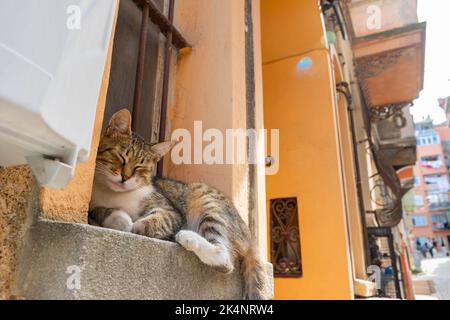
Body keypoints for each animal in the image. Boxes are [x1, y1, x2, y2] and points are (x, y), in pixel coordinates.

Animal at [89, 109, 268, 298]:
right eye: (121, 157)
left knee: (225, 260)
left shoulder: (171, 211)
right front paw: (120, 220)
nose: (125, 177)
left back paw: (188, 237)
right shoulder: (92, 204)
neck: (114, 193)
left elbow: (154, 221)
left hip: (205, 199)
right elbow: (100, 210)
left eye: (140, 168)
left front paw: (137, 226)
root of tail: (249, 234)